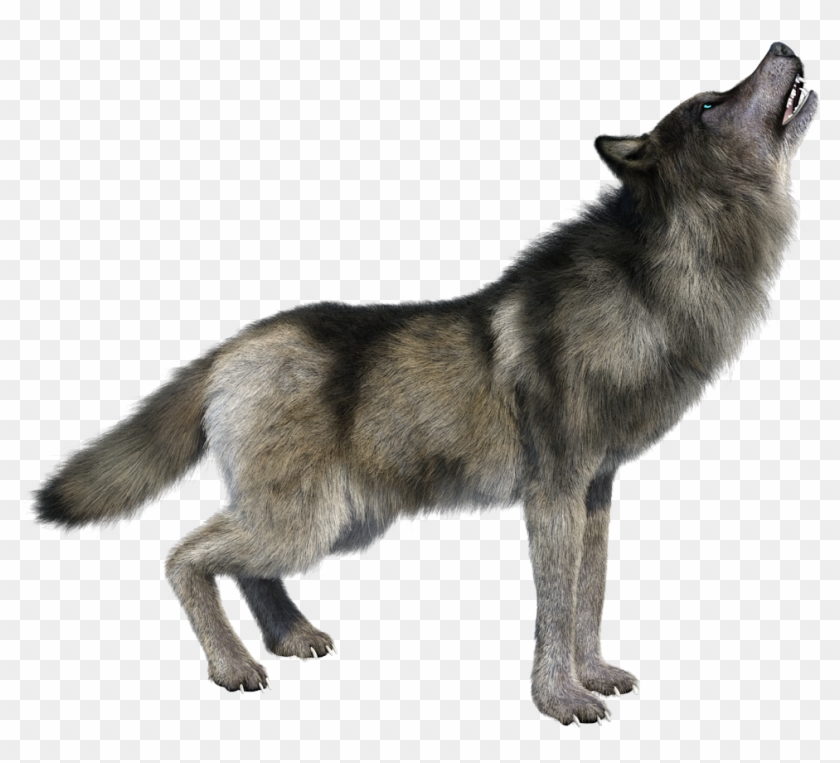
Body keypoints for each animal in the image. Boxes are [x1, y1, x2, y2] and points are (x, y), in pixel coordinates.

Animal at [34, 43, 816, 724]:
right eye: (711, 103)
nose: (782, 45)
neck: (661, 275)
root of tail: (235, 346)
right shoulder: (553, 494)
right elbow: (556, 609)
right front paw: (560, 700)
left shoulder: (596, 491)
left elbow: (588, 598)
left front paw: (592, 674)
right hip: (309, 522)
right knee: (183, 556)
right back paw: (233, 666)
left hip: (337, 522)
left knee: (243, 567)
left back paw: (290, 639)